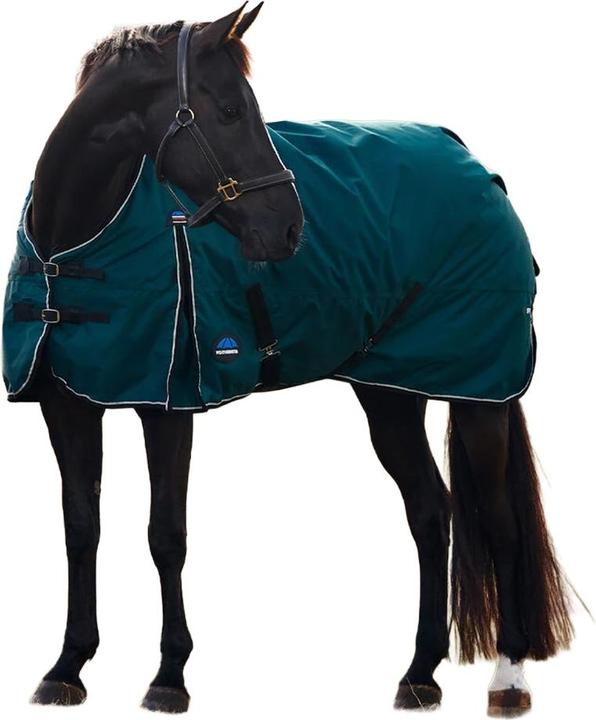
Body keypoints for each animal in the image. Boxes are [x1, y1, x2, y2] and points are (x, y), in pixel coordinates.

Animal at [2, 4, 573, 716]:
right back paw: (419, 673)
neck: (74, 245)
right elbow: (81, 528)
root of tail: (479, 168)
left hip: (478, 395)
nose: (289, 229)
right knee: (431, 512)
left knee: (499, 522)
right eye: (227, 111)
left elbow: (166, 535)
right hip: (390, 393)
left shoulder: (168, 406)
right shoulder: (67, 404)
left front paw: (169, 676)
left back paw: (509, 677)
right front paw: (67, 667)